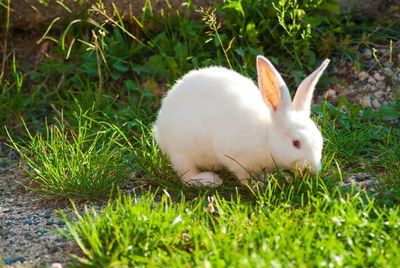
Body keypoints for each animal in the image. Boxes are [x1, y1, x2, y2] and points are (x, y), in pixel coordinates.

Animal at [153, 55, 328, 187]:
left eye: (320, 140)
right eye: (296, 143)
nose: (314, 169)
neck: (266, 138)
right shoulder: (235, 158)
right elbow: (243, 175)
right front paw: (257, 185)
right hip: (181, 152)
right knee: (185, 174)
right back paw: (209, 180)